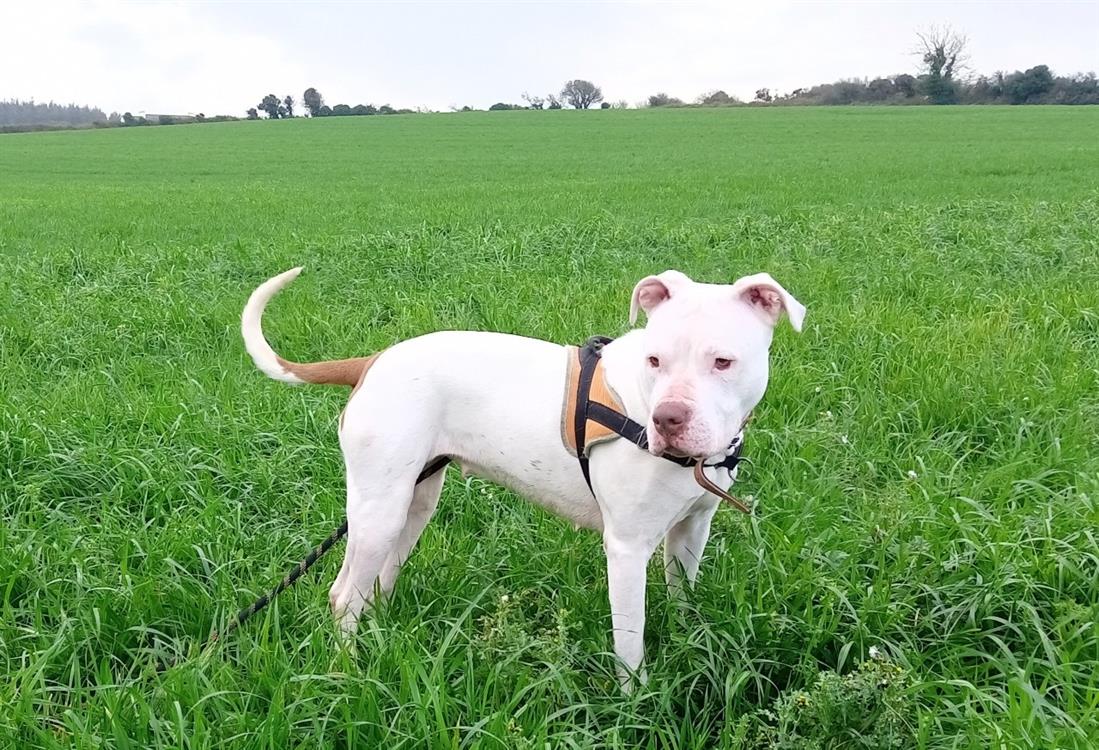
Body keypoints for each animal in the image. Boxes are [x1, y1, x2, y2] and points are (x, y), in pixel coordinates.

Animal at [241, 267, 804, 684]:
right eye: (654, 359)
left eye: (723, 362)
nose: (668, 419)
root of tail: (373, 360)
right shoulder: (626, 549)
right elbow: (630, 640)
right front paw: (636, 702)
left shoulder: (692, 528)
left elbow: (682, 597)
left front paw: (692, 642)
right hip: (378, 509)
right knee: (343, 596)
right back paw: (349, 670)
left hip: (414, 503)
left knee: (377, 583)